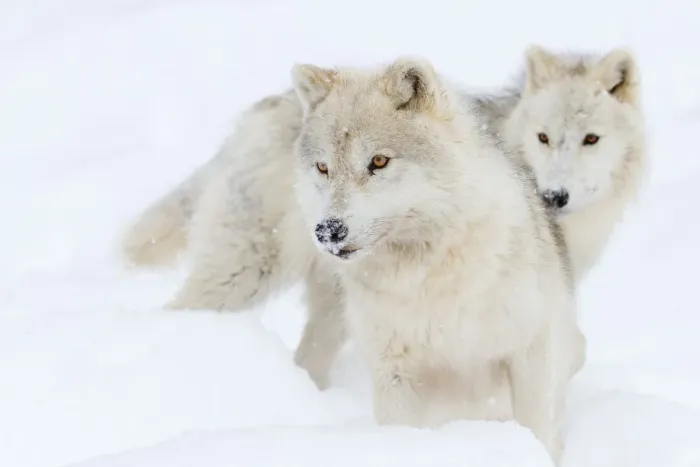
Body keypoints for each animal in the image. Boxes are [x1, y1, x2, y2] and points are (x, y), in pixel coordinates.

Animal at [289, 55, 580, 462]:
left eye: (379, 161)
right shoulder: (393, 373)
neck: (426, 274)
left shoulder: (528, 350)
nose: (328, 231)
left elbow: (536, 429)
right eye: (322, 167)